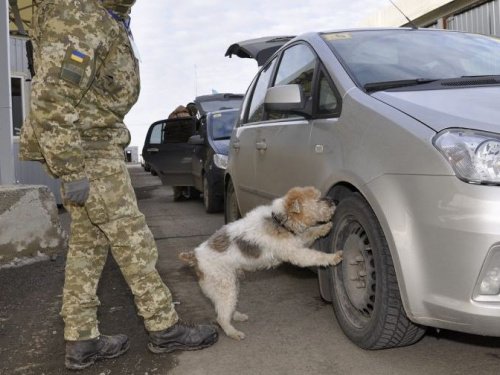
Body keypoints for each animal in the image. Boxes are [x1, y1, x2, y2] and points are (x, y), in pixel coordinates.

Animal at [180, 187, 344, 340]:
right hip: (225, 286)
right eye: (317, 199)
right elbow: (316, 256)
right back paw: (234, 333)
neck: (280, 220)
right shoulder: (295, 253)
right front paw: (334, 257)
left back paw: (237, 316)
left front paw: (325, 227)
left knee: (222, 308)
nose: (336, 201)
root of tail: (195, 255)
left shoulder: (297, 240)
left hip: (228, 284)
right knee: (221, 317)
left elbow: (310, 232)